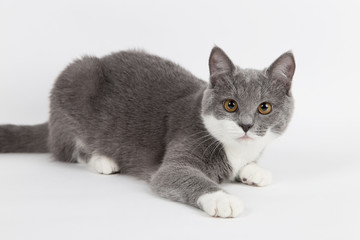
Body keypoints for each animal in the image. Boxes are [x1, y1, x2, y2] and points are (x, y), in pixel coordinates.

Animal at [0, 46, 296, 218]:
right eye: (230, 105)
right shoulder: (181, 148)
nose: (245, 124)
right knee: (68, 150)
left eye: (264, 107)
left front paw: (254, 171)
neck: (234, 148)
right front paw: (223, 199)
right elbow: (181, 175)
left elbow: (249, 164)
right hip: (76, 82)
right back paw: (103, 160)